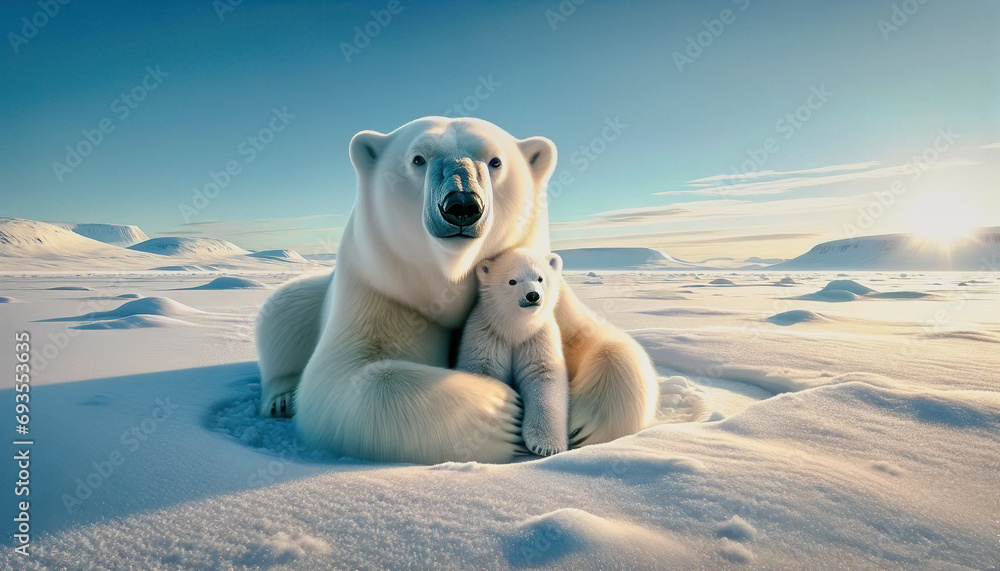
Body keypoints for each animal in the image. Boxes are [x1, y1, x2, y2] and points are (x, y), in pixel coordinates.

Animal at [457, 249, 568, 457]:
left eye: (540, 277)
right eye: (512, 281)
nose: (532, 295)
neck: (516, 329)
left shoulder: (537, 339)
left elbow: (544, 378)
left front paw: (545, 445)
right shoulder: (488, 335)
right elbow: (485, 372)